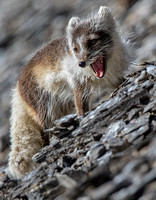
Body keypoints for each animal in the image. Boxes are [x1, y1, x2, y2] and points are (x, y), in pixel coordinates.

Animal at [8, 5, 130, 178]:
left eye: (92, 41)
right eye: (75, 49)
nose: (81, 63)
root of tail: (17, 88)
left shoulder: (113, 78)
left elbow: (119, 82)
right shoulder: (76, 83)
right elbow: (81, 107)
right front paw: (83, 118)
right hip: (44, 108)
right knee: (43, 132)